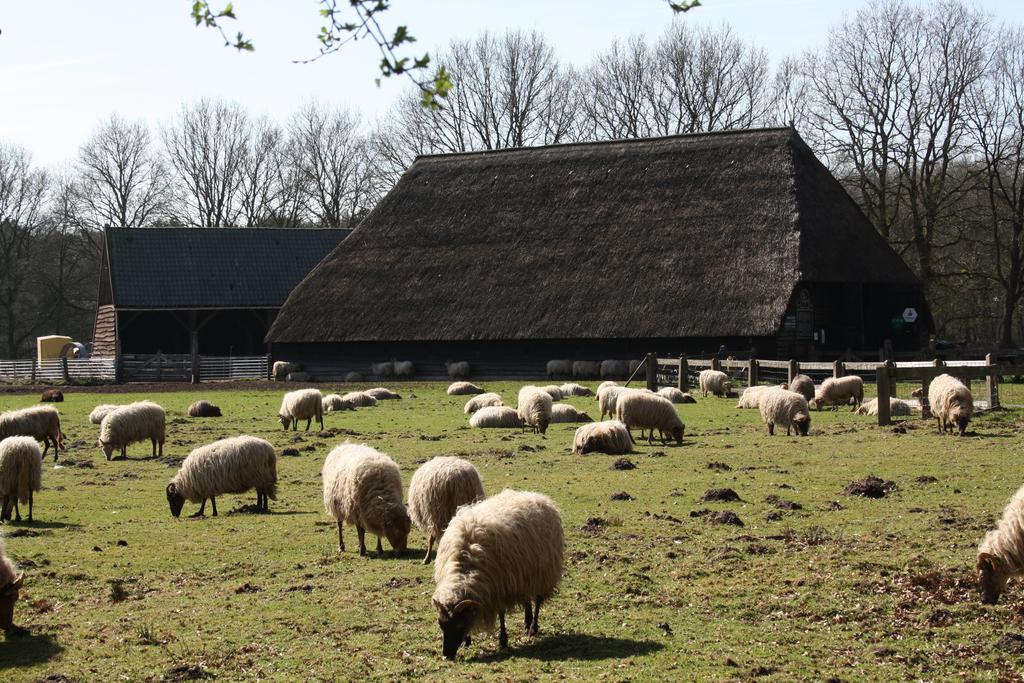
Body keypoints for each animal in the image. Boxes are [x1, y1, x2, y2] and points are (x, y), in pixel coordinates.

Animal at [432, 489, 563, 660]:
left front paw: (503, 640)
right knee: (527, 598)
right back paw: (527, 621)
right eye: (441, 624)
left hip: (542, 574)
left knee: (538, 601)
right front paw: (467, 640)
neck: (466, 567)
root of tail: (537, 496)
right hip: (524, 574)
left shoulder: (500, 587)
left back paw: (533, 627)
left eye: (460, 625)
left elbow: (501, 614)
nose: (446, 656)